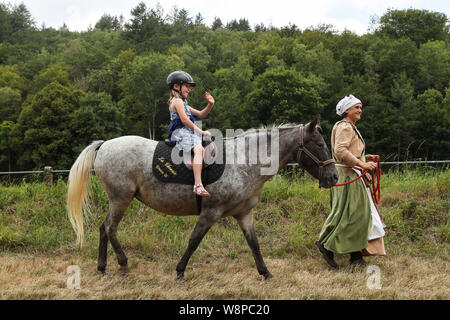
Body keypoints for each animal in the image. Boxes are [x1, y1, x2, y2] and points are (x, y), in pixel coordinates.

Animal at [65, 119, 336, 278]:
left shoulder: (244, 213)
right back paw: (122, 263)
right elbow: (194, 241)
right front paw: (180, 270)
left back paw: (103, 267)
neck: (245, 162)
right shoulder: (210, 212)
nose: (333, 176)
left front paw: (265, 272)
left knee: (103, 228)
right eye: (320, 144)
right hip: (121, 199)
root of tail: (105, 145)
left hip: (118, 200)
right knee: (110, 228)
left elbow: (254, 243)